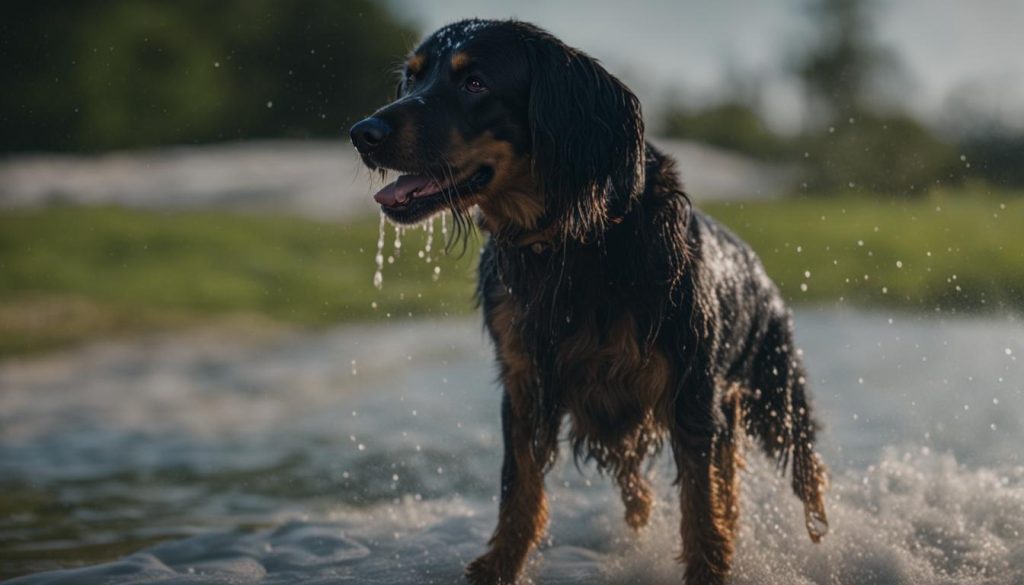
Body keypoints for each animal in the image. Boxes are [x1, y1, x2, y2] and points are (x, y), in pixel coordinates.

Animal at [348, 18, 827, 585]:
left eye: (475, 83)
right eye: (413, 77)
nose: (363, 133)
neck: (570, 243)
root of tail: (756, 265)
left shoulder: (690, 388)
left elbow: (698, 504)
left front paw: (710, 569)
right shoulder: (526, 382)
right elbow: (519, 486)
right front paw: (499, 566)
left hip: (775, 396)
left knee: (804, 475)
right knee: (650, 490)